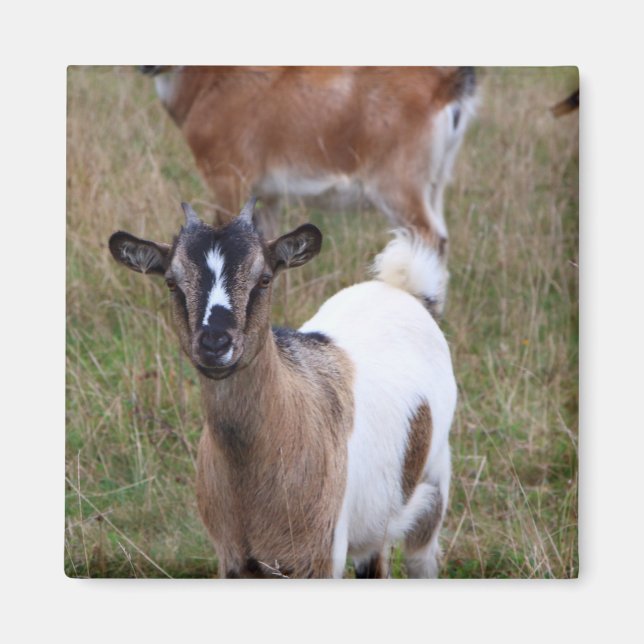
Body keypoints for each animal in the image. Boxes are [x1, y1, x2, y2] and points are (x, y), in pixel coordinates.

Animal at [109, 198, 457, 578]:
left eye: (264, 278)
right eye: (172, 282)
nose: (215, 343)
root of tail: (403, 291)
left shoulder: (319, 558)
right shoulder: (233, 558)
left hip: (434, 483)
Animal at [140, 65, 476, 254]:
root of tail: (444, 86)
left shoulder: (228, 179)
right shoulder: (268, 196)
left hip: (398, 190)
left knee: (431, 239)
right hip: (435, 185)